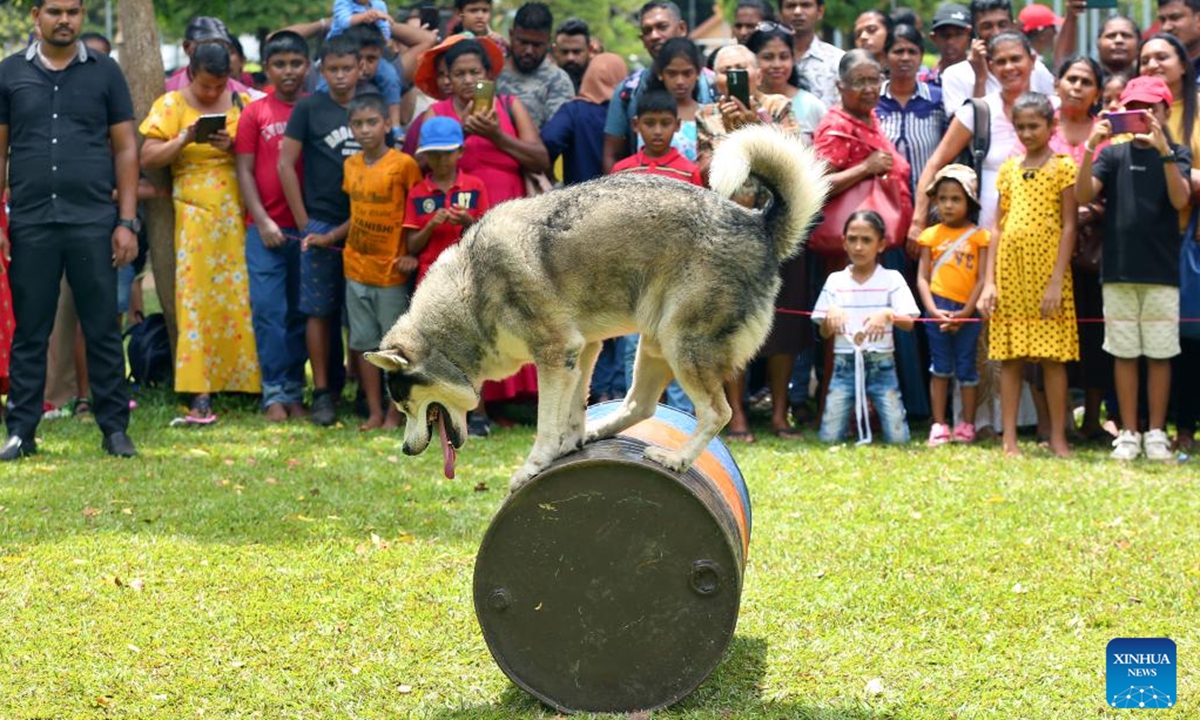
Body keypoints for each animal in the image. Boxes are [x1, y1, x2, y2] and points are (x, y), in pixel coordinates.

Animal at [364, 126, 830, 492]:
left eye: (405, 406)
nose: (406, 449)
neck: (472, 290)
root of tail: (757, 224)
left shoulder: (555, 355)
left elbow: (546, 423)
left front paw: (534, 465)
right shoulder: (582, 351)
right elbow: (571, 412)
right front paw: (571, 443)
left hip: (683, 345)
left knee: (718, 412)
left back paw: (676, 459)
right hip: (656, 343)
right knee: (639, 406)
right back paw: (600, 431)